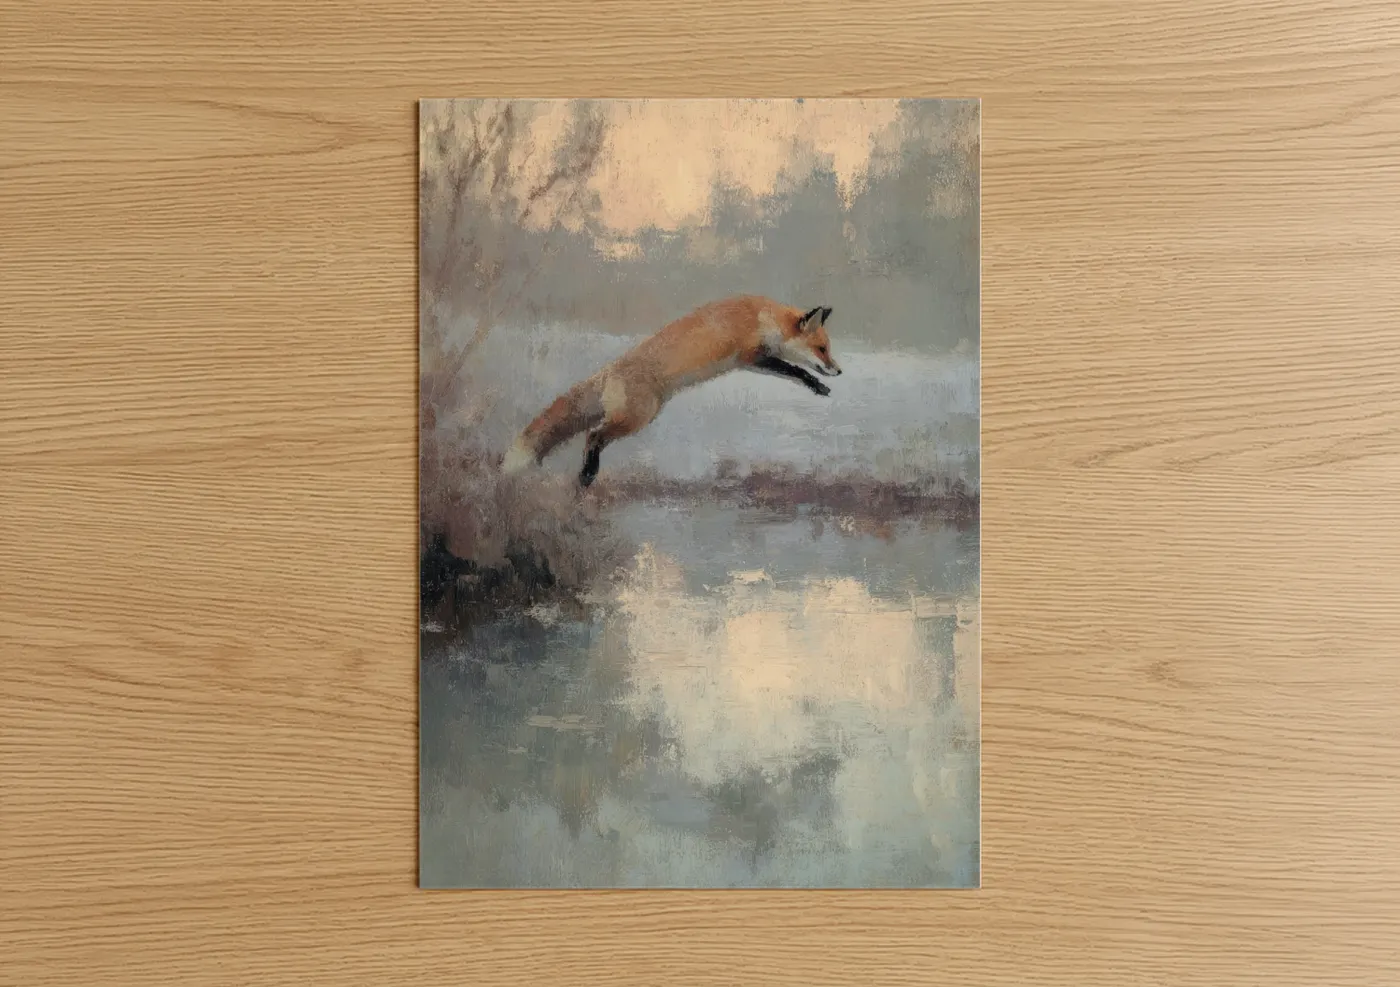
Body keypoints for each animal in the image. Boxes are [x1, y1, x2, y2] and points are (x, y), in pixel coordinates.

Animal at [501, 295, 843, 487]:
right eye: (822, 349)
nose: (838, 370)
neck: (764, 317)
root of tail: (608, 371)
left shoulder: (752, 362)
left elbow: (791, 372)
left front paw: (818, 385)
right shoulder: (751, 354)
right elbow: (796, 370)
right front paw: (817, 383)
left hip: (632, 416)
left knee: (592, 434)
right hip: (637, 418)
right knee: (594, 435)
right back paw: (587, 475)